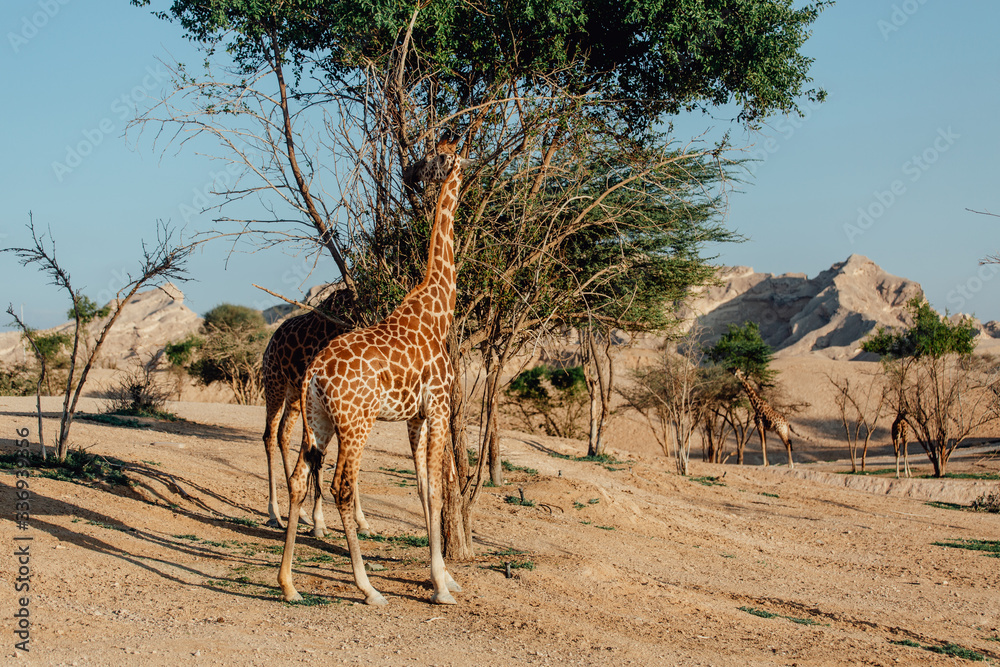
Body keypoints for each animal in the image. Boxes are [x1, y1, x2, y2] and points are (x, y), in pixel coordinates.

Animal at [260, 290, 370, 537]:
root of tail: (271, 340)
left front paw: (362, 522)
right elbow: (319, 453)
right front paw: (319, 522)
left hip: (293, 394)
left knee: (283, 434)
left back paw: (299, 513)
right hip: (274, 382)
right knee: (269, 435)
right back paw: (274, 514)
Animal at [278, 144, 470, 606]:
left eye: (435, 156)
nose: (414, 175)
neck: (439, 307)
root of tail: (314, 373)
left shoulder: (416, 417)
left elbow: (421, 487)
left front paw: (444, 576)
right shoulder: (439, 407)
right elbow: (437, 490)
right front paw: (442, 588)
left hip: (320, 421)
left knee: (298, 480)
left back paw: (288, 584)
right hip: (356, 422)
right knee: (341, 487)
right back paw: (368, 588)